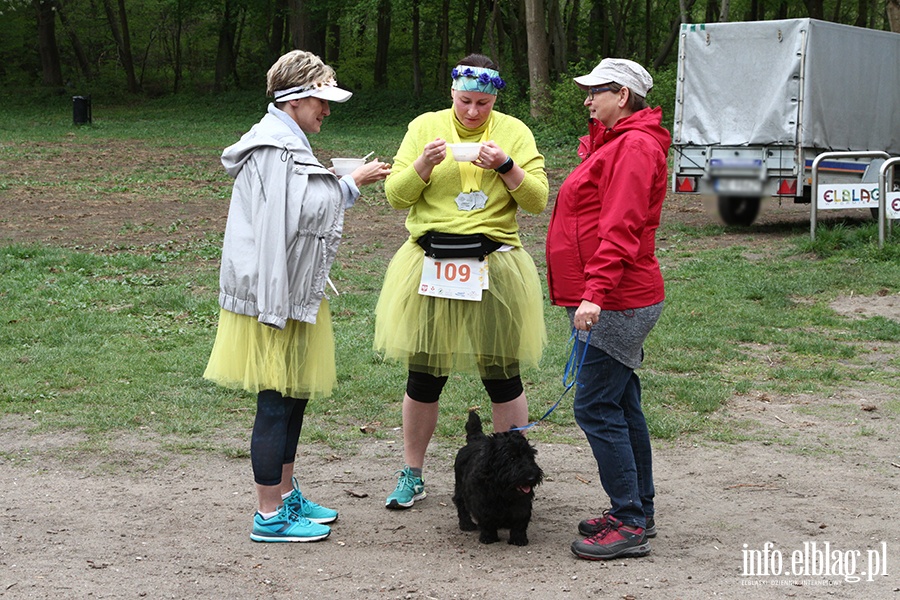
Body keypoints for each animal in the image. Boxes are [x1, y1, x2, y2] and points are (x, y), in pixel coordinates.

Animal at [454, 410, 544, 548]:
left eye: (530, 455)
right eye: (511, 458)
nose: (532, 477)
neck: (502, 488)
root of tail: (474, 440)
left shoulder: (522, 503)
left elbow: (520, 522)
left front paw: (518, 539)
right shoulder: (483, 502)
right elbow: (487, 520)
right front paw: (488, 537)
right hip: (459, 486)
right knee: (460, 503)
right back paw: (466, 524)